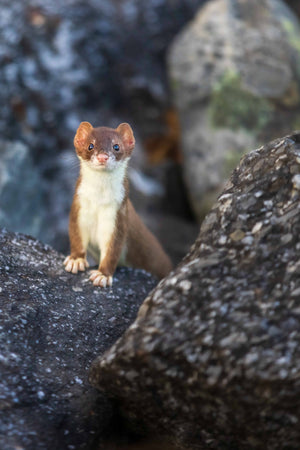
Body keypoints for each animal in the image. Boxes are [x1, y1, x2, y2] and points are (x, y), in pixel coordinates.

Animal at [63, 121, 173, 286]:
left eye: (116, 146)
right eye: (90, 145)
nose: (102, 157)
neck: (99, 201)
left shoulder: (117, 215)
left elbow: (112, 250)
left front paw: (102, 275)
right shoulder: (79, 208)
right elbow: (76, 236)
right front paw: (75, 260)